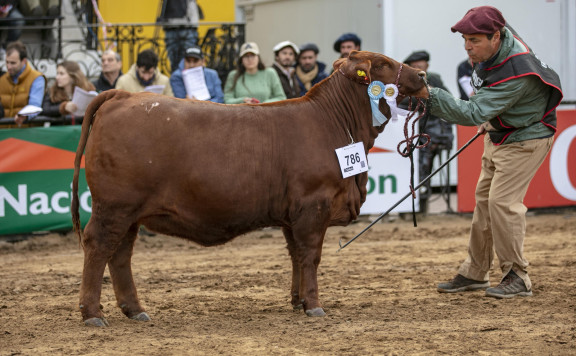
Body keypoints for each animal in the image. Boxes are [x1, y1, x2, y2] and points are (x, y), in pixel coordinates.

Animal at [71, 50, 428, 326]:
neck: (333, 123)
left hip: (129, 213)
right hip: (114, 207)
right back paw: (92, 313)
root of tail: (124, 96)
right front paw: (314, 305)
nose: (423, 75)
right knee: (98, 247)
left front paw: (298, 299)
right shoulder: (313, 206)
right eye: (381, 63)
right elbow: (310, 256)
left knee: (120, 255)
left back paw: (135, 310)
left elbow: (295, 255)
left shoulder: (291, 215)